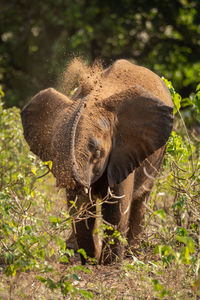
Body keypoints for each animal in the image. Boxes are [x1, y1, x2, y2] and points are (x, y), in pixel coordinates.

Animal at [20, 59, 173, 264]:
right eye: (55, 151)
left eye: (98, 152)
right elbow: (81, 208)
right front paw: (90, 262)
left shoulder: (123, 151)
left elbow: (116, 208)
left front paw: (109, 264)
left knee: (141, 199)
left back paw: (132, 256)